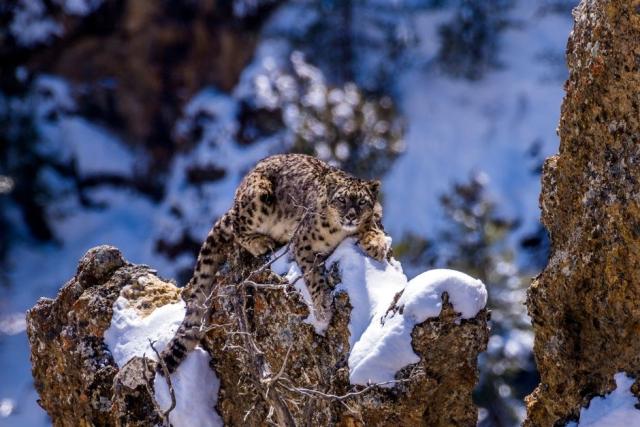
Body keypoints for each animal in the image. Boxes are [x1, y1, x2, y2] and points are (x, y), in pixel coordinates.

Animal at [159, 153, 389, 373]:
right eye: (341, 200)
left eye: (362, 202)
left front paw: (377, 244)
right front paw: (323, 310)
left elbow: (372, 226)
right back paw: (261, 243)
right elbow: (313, 277)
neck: (342, 233)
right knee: (236, 228)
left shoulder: (373, 218)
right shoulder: (303, 243)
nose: (350, 216)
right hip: (259, 197)